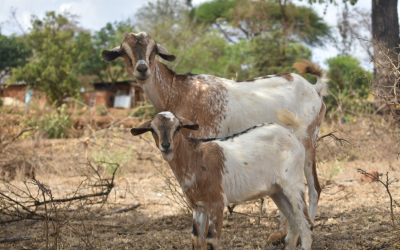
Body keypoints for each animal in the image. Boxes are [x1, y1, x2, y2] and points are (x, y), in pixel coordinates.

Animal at [131, 110, 312, 249]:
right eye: (152, 129)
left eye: (177, 128)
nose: (166, 145)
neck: (194, 158)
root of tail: (293, 135)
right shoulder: (199, 207)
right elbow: (196, 239)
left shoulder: (216, 203)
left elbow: (212, 240)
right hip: (276, 190)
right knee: (294, 222)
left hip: (293, 183)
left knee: (306, 225)